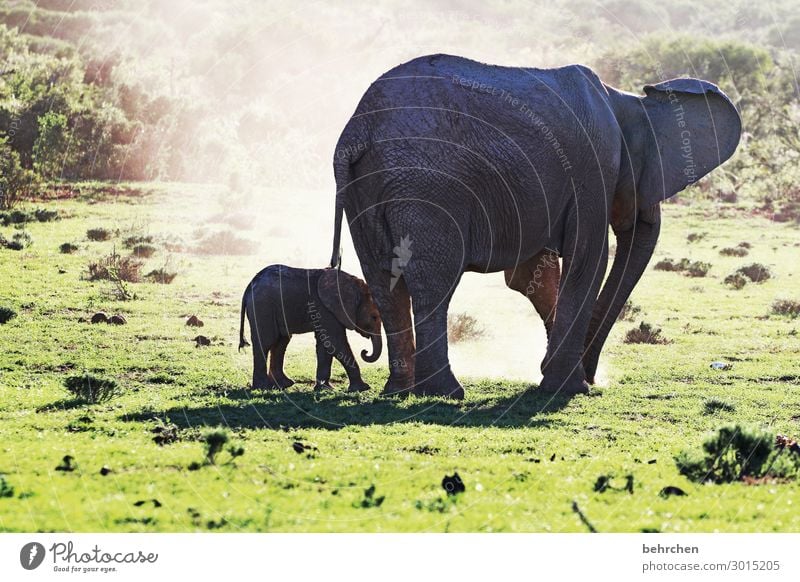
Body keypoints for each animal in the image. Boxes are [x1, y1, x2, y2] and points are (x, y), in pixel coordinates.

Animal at [238, 264, 382, 392]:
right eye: (374, 317)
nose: (365, 351)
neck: (354, 284)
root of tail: (249, 286)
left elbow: (326, 344)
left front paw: (325, 389)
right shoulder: (325, 309)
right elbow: (335, 342)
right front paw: (363, 388)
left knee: (281, 342)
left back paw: (283, 385)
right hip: (262, 308)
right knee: (266, 342)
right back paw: (263, 387)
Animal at [328, 54, 740, 400]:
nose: (594, 377)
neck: (624, 101)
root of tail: (356, 131)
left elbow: (531, 275)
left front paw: (554, 375)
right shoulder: (592, 172)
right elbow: (587, 262)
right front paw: (567, 388)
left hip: (367, 188)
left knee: (384, 280)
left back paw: (399, 391)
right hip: (427, 185)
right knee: (433, 281)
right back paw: (445, 393)